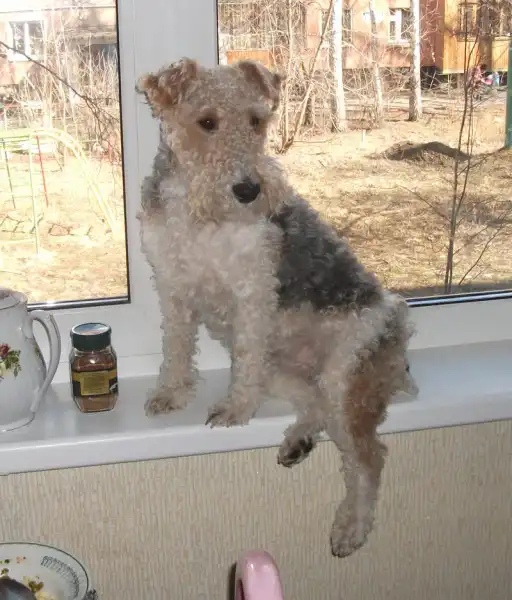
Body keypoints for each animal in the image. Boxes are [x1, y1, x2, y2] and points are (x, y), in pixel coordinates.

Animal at [136, 58, 418, 557]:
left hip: (346, 370)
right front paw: (170, 393)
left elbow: (241, 365)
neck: (198, 212)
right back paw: (298, 441)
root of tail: (400, 356)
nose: (250, 190)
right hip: (289, 371)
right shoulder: (172, 286)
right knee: (317, 407)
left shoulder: (252, 293)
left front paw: (235, 409)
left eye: (256, 120)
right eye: (206, 122)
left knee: (368, 457)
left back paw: (351, 528)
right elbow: (176, 348)